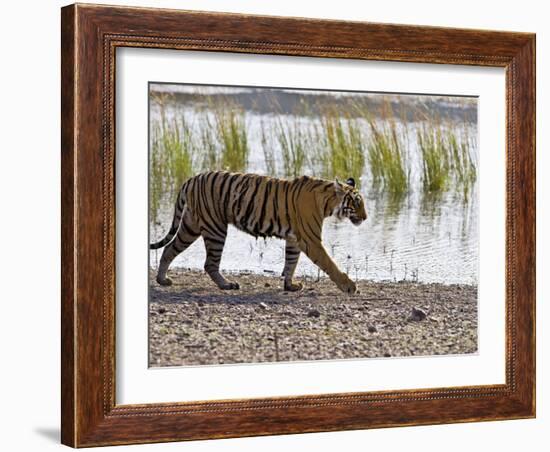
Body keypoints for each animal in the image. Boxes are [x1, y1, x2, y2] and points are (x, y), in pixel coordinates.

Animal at [149, 170, 368, 294]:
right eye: (356, 203)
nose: (366, 218)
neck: (327, 202)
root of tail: (192, 179)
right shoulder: (310, 240)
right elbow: (329, 263)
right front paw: (349, 287)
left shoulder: (294, 239)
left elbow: (291, 262)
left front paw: (290, 286)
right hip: (215, 228)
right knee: (209, 263)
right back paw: (227, 285)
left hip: (191, 225)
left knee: (169, 249)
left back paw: (162, 280)